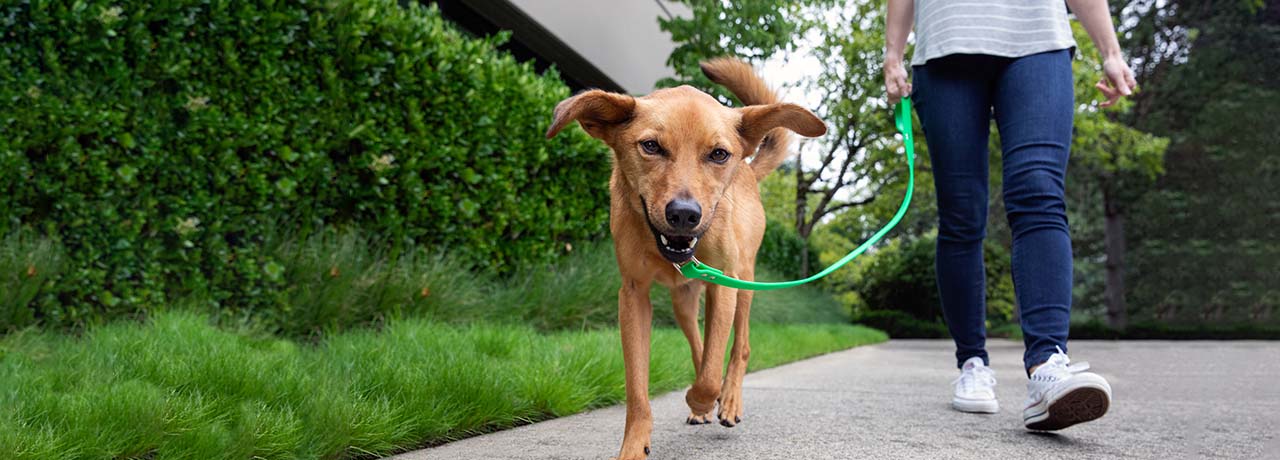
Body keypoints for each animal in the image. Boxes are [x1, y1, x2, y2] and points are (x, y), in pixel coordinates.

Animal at [542, 58, 824, 460]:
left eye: (719, 154)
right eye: (651, 146)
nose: (684, 214)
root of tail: (748, 167)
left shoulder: (724, 285)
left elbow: (709, 375)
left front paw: (704, 399)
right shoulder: (633, 296)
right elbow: (639, 387)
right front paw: (635, 445)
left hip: (743, 283)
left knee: (738, 348)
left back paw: (728, 401)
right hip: (684, 301)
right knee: (699, 345)